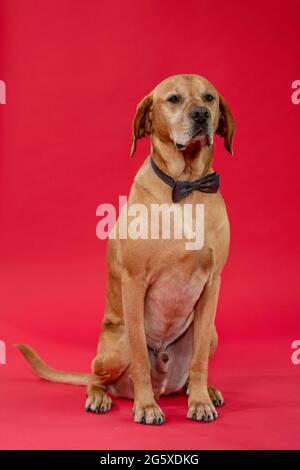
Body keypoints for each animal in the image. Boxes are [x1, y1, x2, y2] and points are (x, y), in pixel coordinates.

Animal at [17, 73, 236, 426]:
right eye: (173, 99)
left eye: (210, 98)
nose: (201, 115)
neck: (185, 187)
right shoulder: (135, 283)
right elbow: (140, 359)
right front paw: (146, 407)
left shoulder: (212, 283)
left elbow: (200, 358)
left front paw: (200, 401)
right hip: (115, 344)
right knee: (97, 378)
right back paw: (101, 397)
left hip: (212, 331)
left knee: (188, 372)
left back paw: (201, 391)